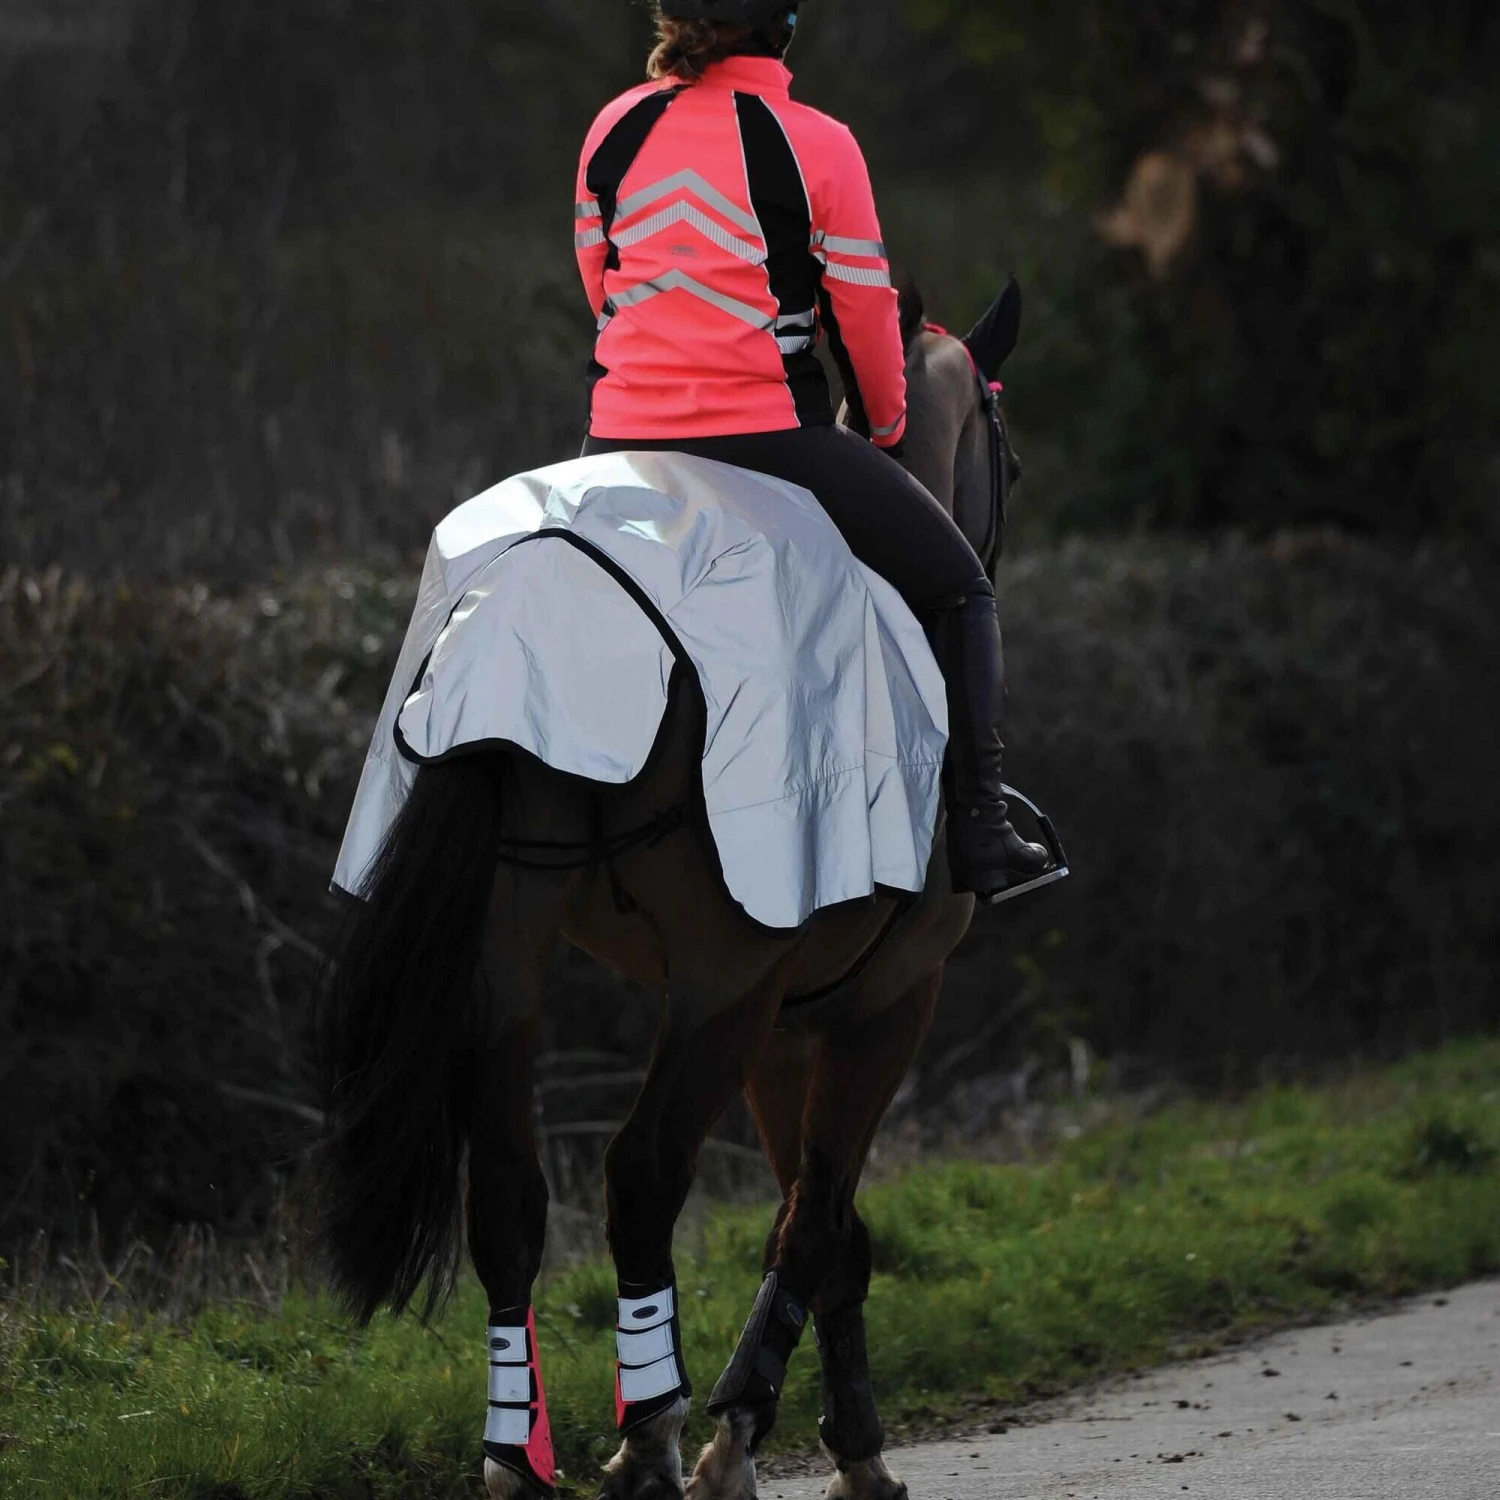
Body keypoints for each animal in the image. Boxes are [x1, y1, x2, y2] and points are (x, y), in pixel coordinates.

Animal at [318, 279, 1030, 1500]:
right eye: (1012, 458)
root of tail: (540, 587)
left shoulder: (789, 1024)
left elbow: (829, 1232)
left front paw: (843, 1443)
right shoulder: (883, 1001)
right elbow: (817, 1223)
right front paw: (749, 1433)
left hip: (506, 957)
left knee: (506, 1192)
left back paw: (517, 1454)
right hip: (719, 978)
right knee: (644, 1170)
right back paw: (647, 1432)